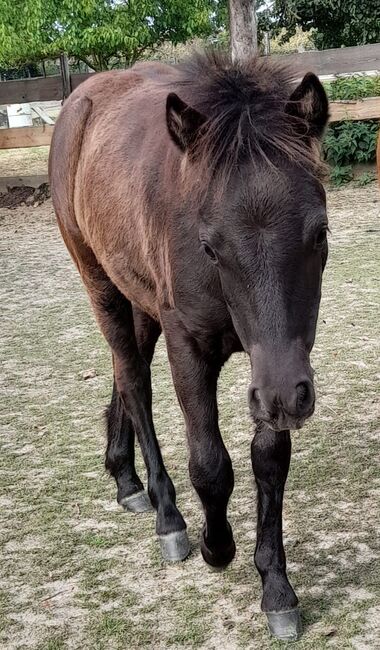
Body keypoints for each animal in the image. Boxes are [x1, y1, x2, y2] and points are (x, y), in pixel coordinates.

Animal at [49, 50, 330, 636]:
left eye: (320, 233)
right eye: (209, 246)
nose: (284, 400)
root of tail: (79, 100)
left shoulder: (282, 361)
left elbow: (269, 460)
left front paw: (276, 587)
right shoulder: (189, 344)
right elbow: (210, 464)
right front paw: (215, 547)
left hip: (140, 299)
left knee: (123, 369)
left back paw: (125, 478)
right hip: (101, 284)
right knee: (134, 381)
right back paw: (166, 515)